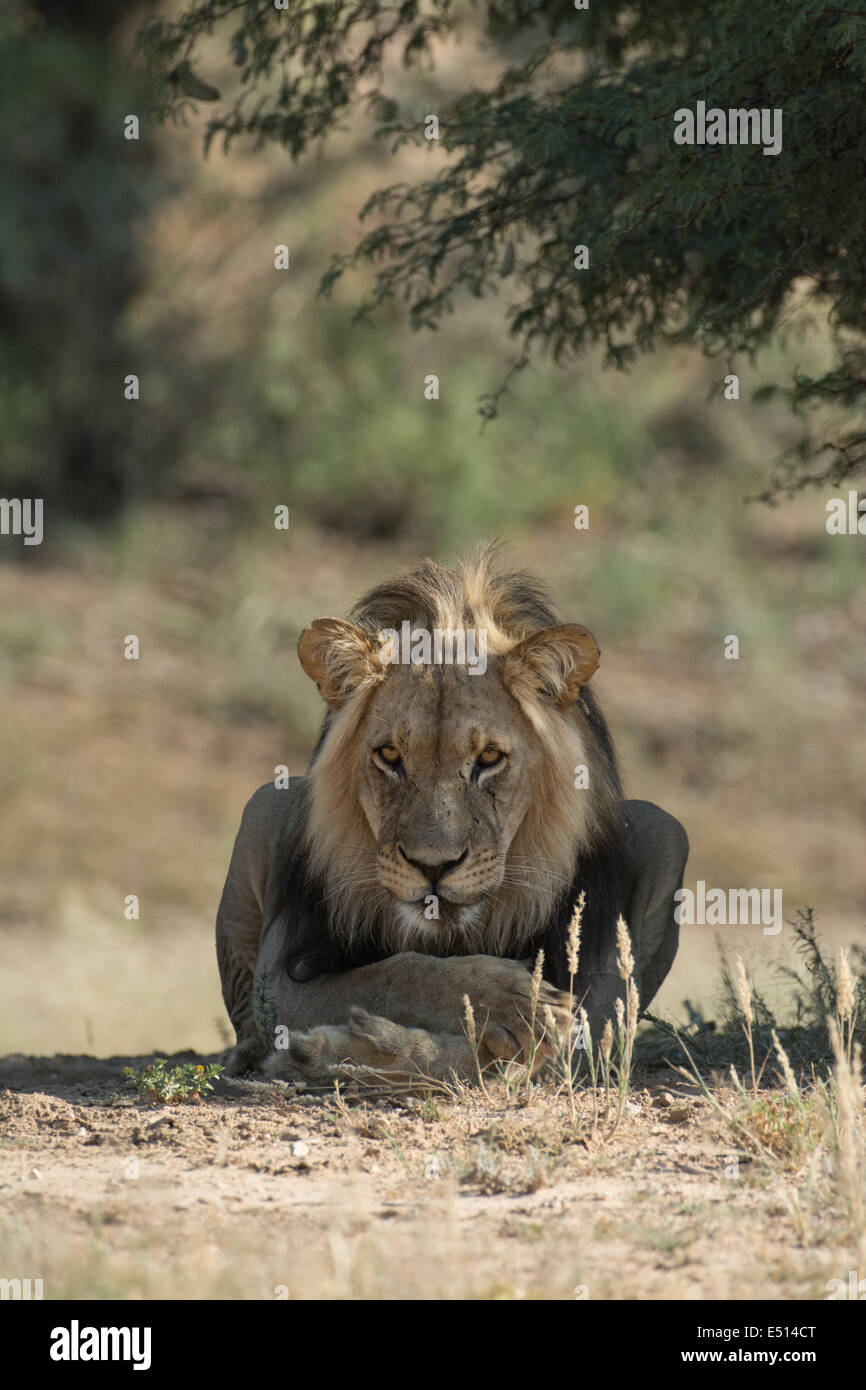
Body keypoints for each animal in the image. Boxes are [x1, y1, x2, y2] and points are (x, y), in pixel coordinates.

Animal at [214, 547, 686, 1078]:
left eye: (488, 758)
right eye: (390, 756)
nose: (433, 866)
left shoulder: (602, 1002)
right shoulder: (280, 981)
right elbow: (400, 973)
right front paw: (506, 1003)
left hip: (665, 828)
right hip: (263, 801)